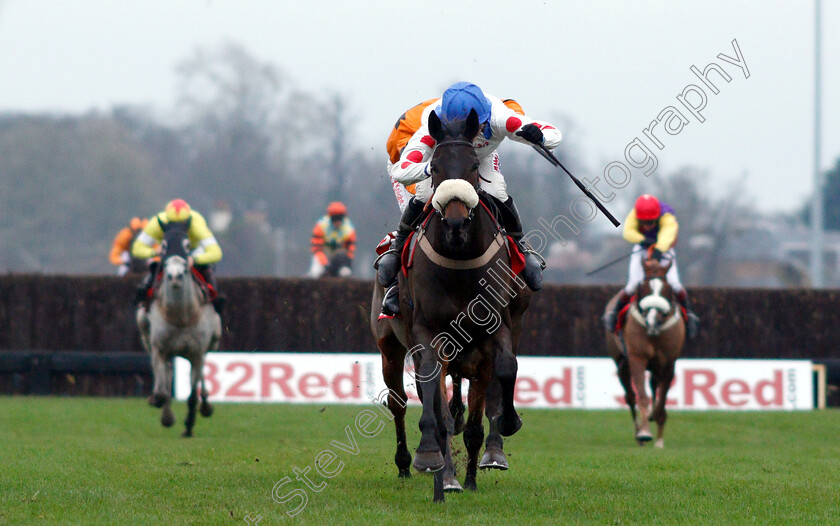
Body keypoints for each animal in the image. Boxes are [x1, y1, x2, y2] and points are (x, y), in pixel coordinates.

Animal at [374, 108, 532, 504]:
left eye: (473, 166)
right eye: (436, 168)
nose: (457, 221)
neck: (460, 262)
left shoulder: (496, 330)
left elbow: (505, 370)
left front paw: (504, 430)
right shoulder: (427, 335)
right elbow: (437, 409)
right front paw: (434, 463)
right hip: (390, 346)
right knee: (400, 402)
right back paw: (409, 464)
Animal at [608, 252, 684, 450]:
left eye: (665, 290)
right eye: (644, 289)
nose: (652, 321)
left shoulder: (669, 362)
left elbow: (662, 399)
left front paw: (659, 438)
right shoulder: (637, 358)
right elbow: (641, 395)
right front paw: (644, 432)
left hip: (656, 366)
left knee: (654, 386)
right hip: (621, 363)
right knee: (630, 397)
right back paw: (639, 435)